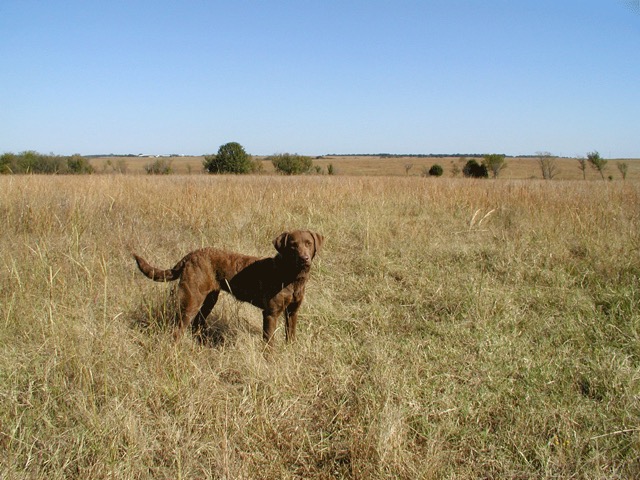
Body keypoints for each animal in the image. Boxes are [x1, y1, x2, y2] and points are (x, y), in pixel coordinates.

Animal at [136, 231, 324, 344]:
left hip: (209, 299)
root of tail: (190, 255)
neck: (291, 276)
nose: (304, 259)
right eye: (293, 245)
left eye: (308, 243)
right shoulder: (270, 313)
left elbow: (290, 335)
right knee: (179, 329)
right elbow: (268, 341)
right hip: (191, 299)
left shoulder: (293, 311)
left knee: (197, 324)